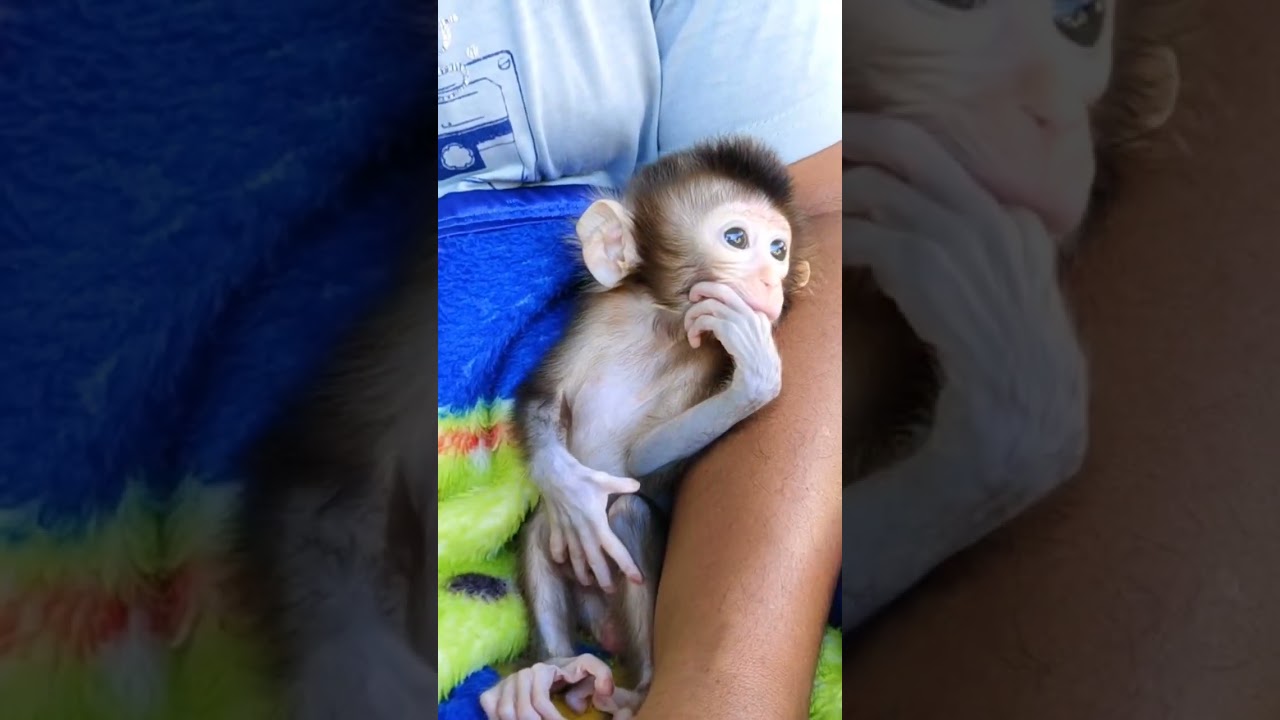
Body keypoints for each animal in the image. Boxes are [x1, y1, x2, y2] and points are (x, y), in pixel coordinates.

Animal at [477, 135, 815, 720]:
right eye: (737, 238)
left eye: (779, 249)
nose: (772, 281)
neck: (663, 323)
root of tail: (600, 630)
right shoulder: (594, 323)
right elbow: (542, 400)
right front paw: (570, 487)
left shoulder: (704, 366)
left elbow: (640, 465)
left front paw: (757, 372)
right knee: (547, 529)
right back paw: (553, 669)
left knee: (629, 514)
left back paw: (638, 687)